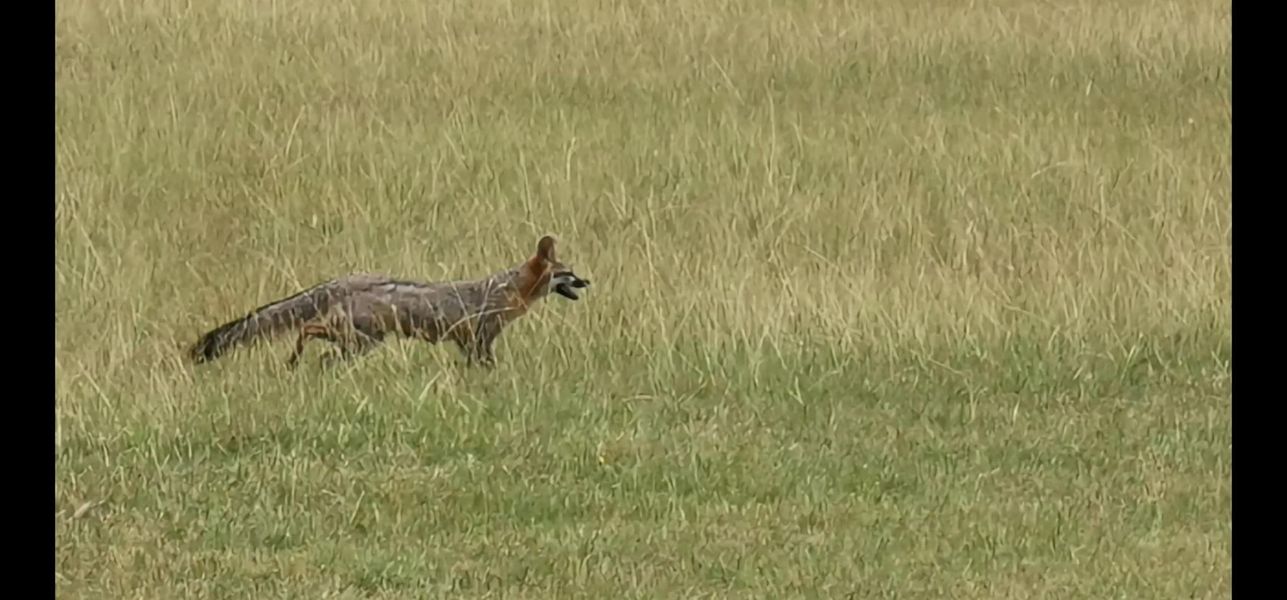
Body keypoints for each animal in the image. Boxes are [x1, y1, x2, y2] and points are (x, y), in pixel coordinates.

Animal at [186, 235, 589, 369]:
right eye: (569, 273)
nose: (589, 281)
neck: (507, 289)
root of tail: (345, 280)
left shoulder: (469, 342)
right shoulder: (479, 338)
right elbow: (488, 365)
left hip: (356, 341)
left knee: (314, 337)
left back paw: (297, 364)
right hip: (360, 341)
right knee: (310, 333)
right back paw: (295, 362)